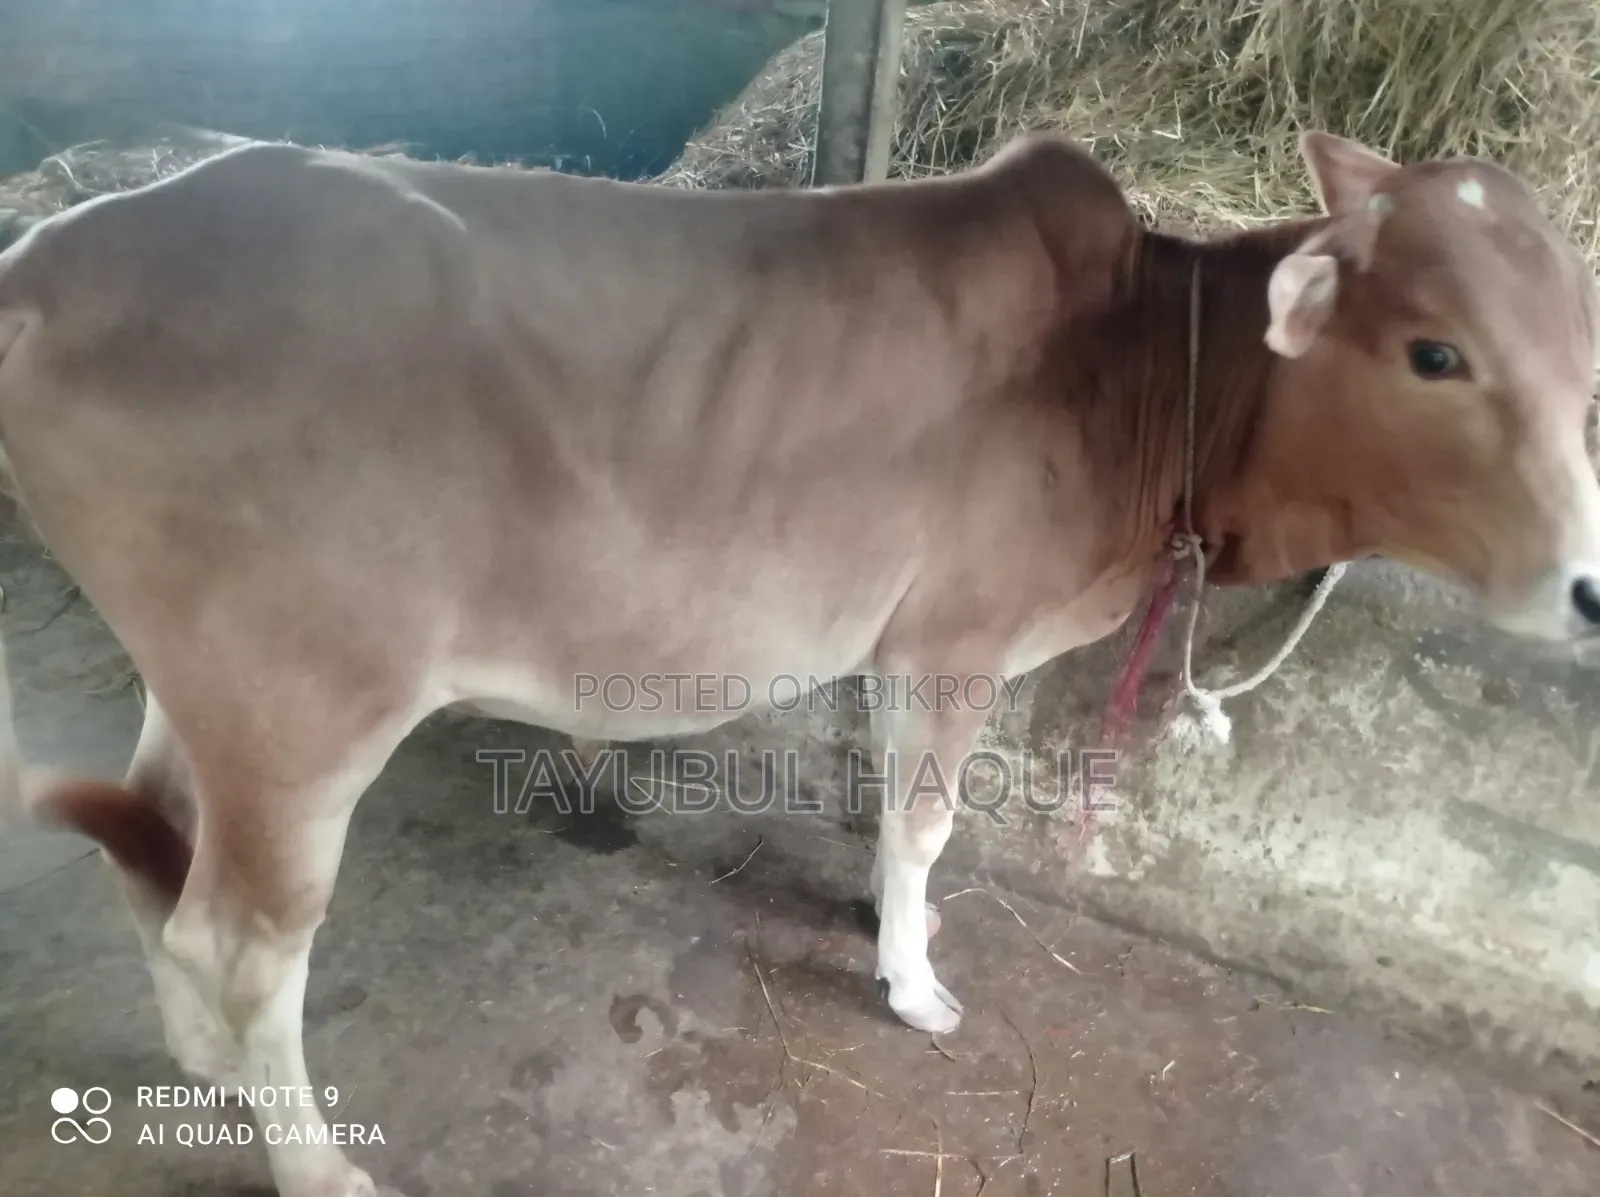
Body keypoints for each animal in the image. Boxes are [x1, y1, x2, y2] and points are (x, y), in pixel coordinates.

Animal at [0, 127, 1597, 1197]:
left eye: (1582, 360)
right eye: (1437, 354)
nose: (1587, 590)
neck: (1144, 371)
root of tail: (51, 256)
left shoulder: (897, 643)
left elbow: (891, 805)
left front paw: (889, 918)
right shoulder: (958, 633)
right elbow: (932, 814)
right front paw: (914, 984)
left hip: (206, 687)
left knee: (155, 842)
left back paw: (205, 1069)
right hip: (305, 704)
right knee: (240, 937)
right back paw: (316, 1161)